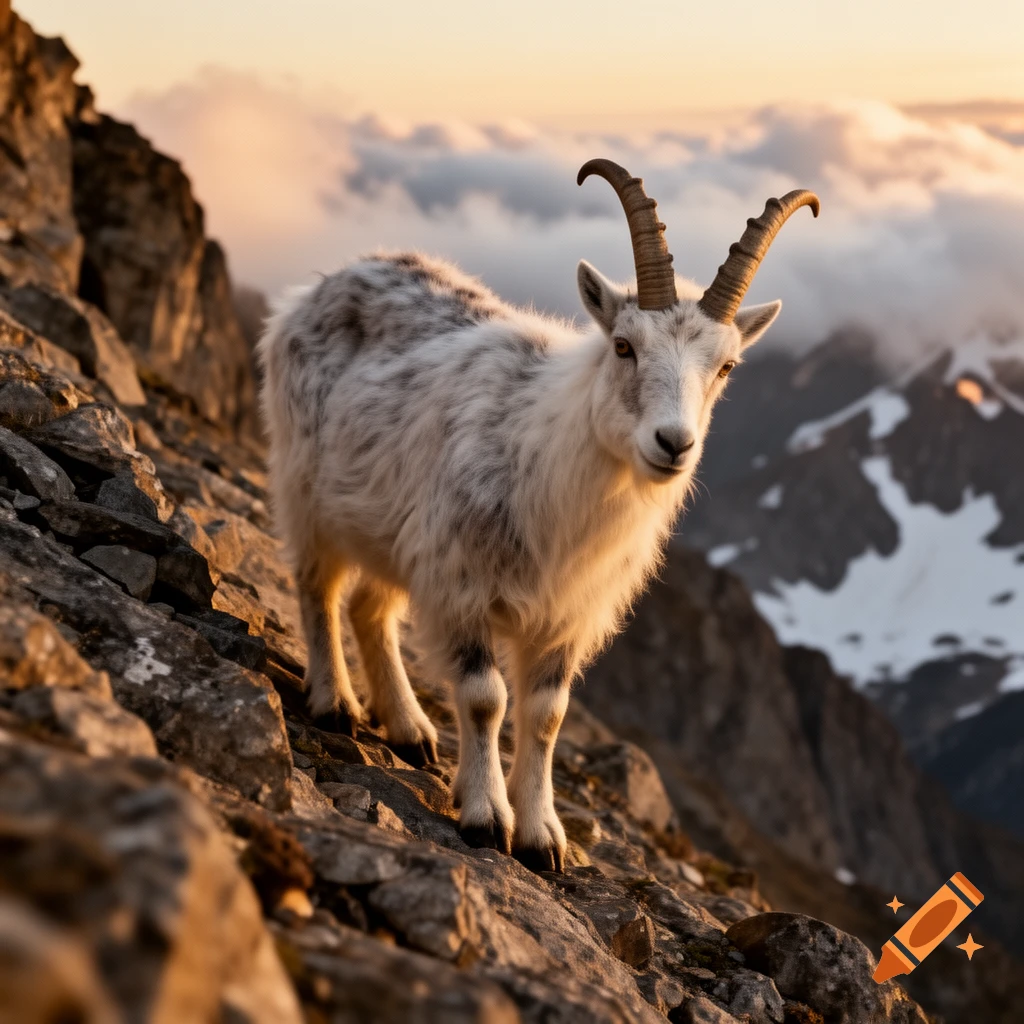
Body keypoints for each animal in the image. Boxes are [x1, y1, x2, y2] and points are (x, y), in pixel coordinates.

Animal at [258, 159, 818, 871]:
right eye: (624, 346)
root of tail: (323, 284)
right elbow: (485, 697)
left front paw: (542, 837)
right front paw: (486, 818)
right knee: (319, 587)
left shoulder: (564, 614)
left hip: (394, 529)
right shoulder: (463, 582)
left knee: (370, 607)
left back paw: (410, 730)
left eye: (726, 366)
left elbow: (548, 713)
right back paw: (335, 704)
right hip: (306, 487)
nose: (673, 444)